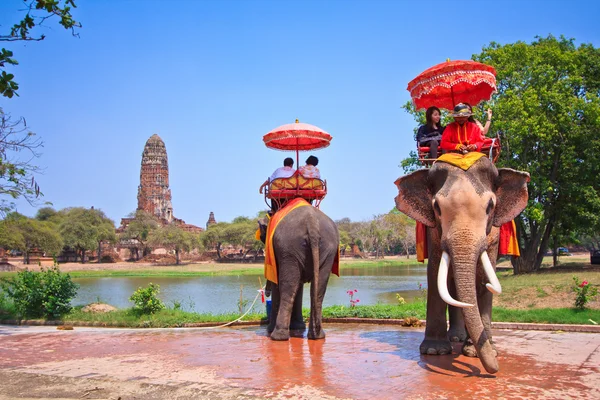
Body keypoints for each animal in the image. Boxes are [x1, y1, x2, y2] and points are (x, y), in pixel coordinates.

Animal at [258, 206, 340, 340]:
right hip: (328, 248)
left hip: (289, 248)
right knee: (318, 288)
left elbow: (278, 281)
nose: (266, 293)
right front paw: (298, 327)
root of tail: (312, 224)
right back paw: (317, 336)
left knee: (288, 288)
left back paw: (277, 337)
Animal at [394, 155, 528, 374]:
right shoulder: (434, 233)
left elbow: (484, 278)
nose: (495, 369)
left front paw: (478, 352)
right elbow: (435, 274)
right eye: (437, 207)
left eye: (490, 206)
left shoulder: (494, 236)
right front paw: (434, 351)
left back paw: (462, 339)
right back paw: (456, 338)